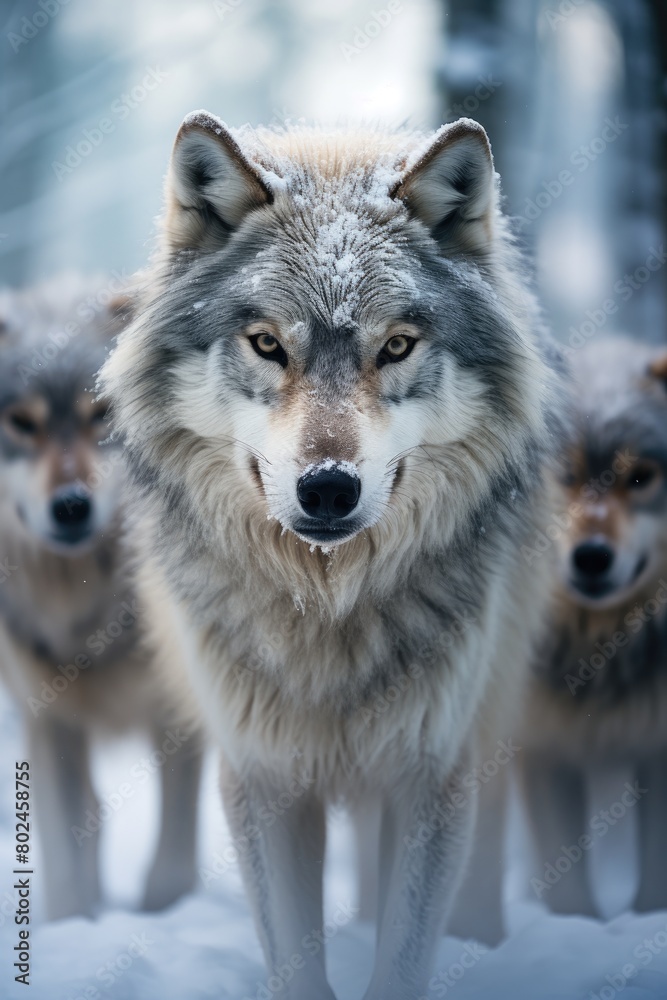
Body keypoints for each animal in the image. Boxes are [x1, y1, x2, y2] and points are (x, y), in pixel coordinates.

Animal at [0, 276, 201, 919]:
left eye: (103, 414)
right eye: (22, 422)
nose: (71, 506)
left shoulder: (182, 713)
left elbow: (173, 860)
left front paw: (161, 915)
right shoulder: (48, 718)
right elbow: (64, 859)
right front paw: (73, 925)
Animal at [101, 112, 565, 997]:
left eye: (395, 346)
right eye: (265, 344)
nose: (326, 489)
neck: (327, 608)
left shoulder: (430, 769)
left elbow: (401, 957)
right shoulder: (265, 775)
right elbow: (296, 960)